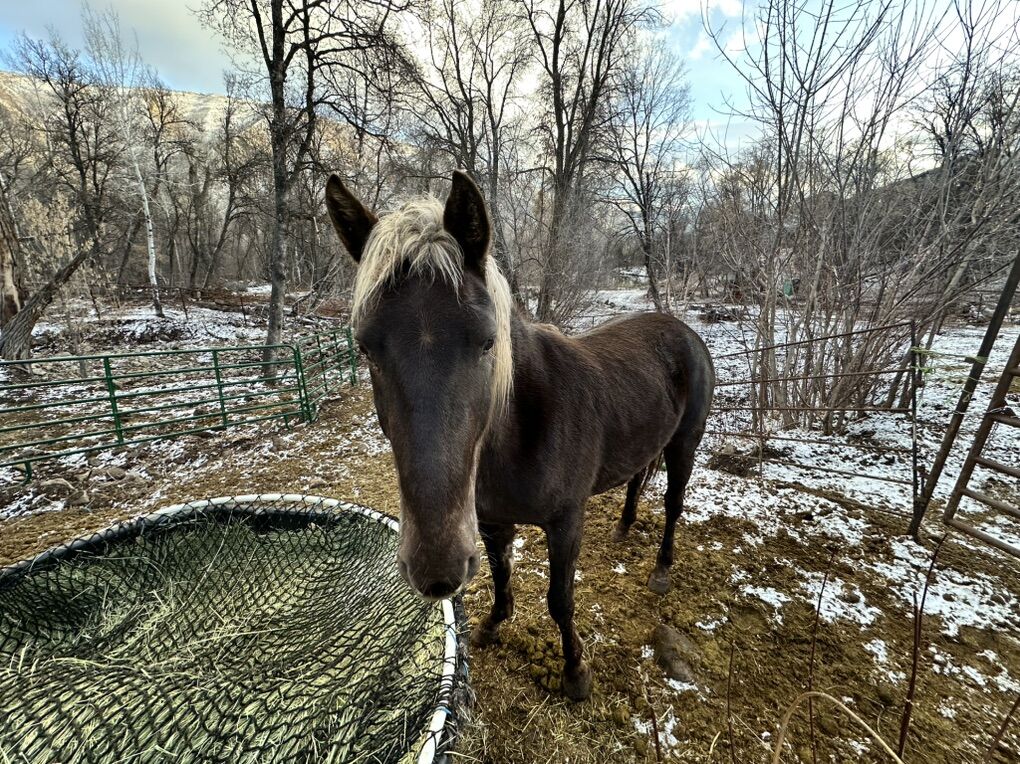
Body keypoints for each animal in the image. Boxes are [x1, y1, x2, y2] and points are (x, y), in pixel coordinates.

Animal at [325, 170, 715, 701]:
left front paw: (575, 671)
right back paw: (623, 526)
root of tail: (681, 329)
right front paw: (493, 624)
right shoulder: (492, 521)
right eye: (365, 347)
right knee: (637, 477)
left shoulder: (566, 521)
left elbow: (560, 599)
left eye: (488, 341)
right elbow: (500, 574)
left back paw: (661, 570)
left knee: (674, 504)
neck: (519, 436)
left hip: (684, 444)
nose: (435, 569)